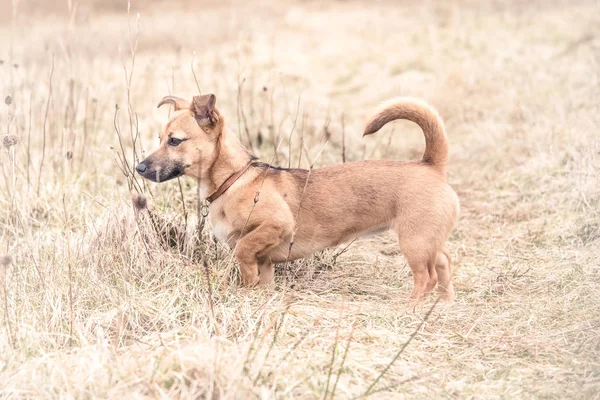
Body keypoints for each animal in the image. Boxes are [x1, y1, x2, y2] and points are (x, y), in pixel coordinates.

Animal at [137, 94, 460, 300]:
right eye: (159, 139)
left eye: (174, 141)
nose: (139, 167)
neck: (235, 180)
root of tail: (430, 164)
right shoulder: (266, 260)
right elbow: (261, 277)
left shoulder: (276, 225)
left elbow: (242, 249)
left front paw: (245, 289)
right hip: (427, 240)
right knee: (443, 261)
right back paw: (442, 304)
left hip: (414, 242)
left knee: (426, 277)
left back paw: (411, 309)